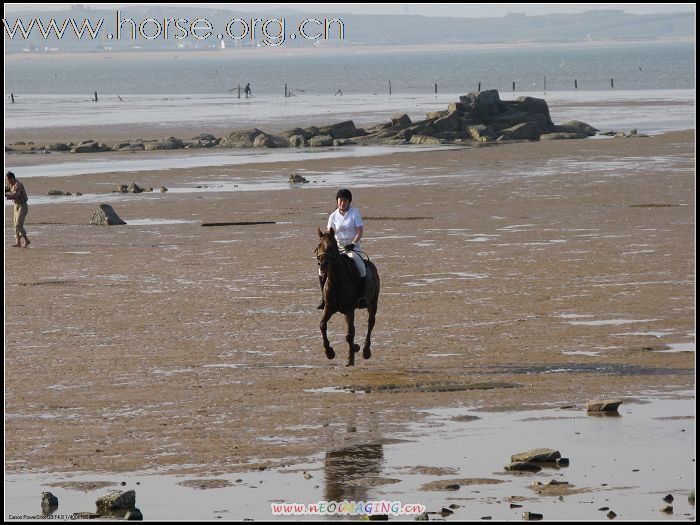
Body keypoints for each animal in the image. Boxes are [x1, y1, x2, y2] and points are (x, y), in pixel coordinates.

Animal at [318, 227, 380, 366]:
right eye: (319, 246)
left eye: (331, 246)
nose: (322, 264)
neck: (336, 280)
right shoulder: (329, 307)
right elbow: (322, 325)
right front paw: (329, 352)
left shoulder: (349, 309)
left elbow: (349, 335)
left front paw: (354, 351)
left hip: (373, 302)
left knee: (370, 323)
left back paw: (366, 351)